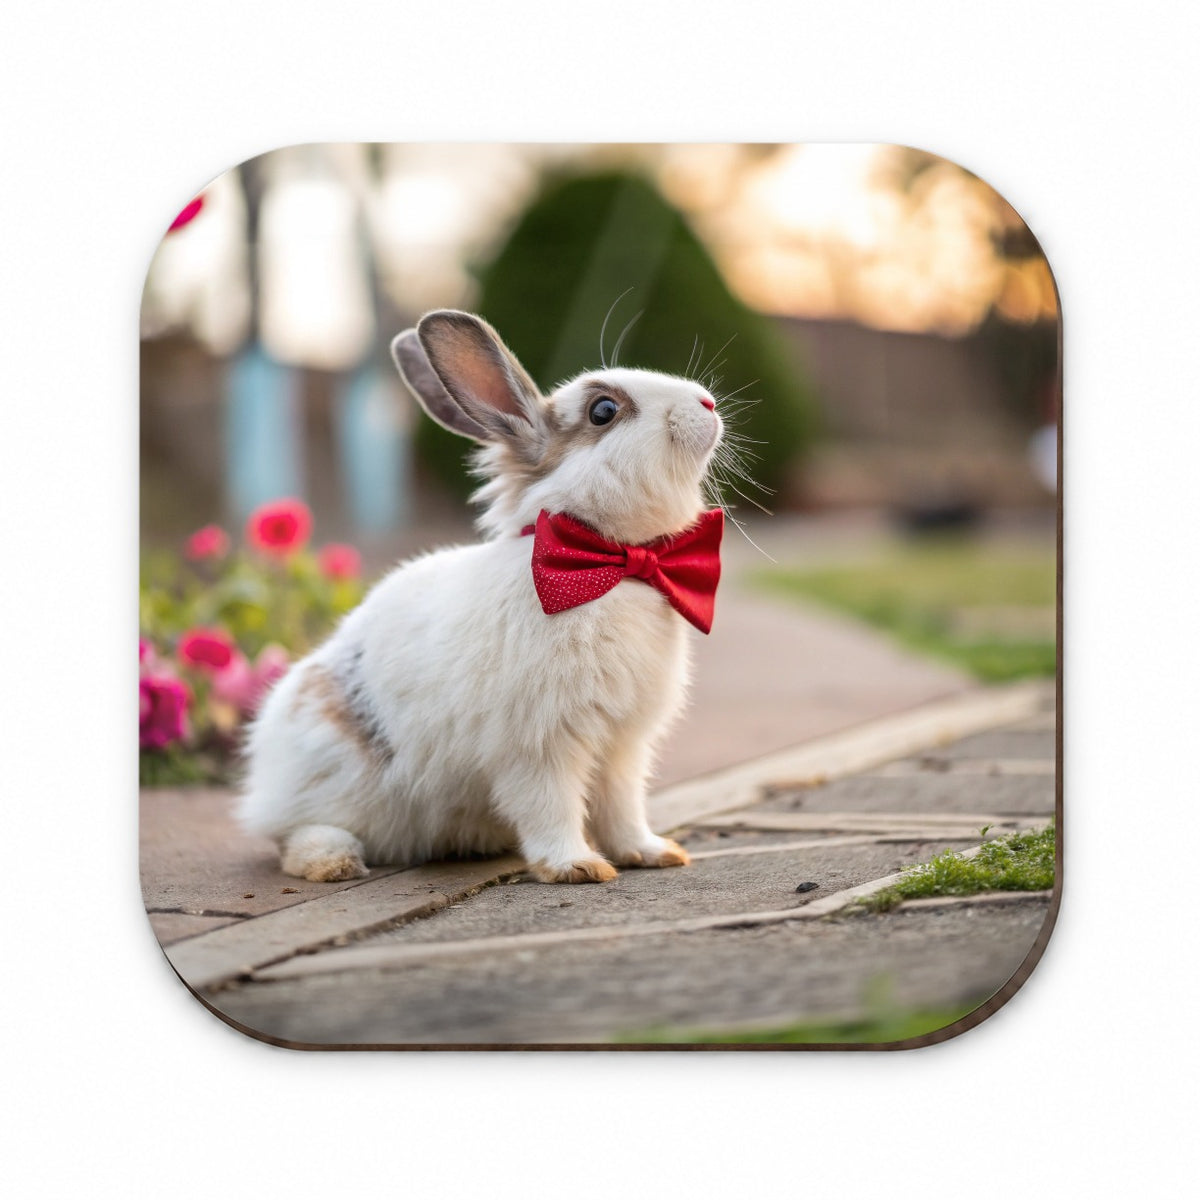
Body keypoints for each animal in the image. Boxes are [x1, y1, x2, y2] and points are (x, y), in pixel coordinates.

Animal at [237, 309, 726, 884]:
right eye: (603, 410)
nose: (707, 403)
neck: (613, 565)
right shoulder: (538, 744)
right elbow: (551, 806)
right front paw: (576, 867)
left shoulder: (623, 744)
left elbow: (621, 807)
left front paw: (652, 853)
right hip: (328, 780)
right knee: (291, 835)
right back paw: (333, 861)